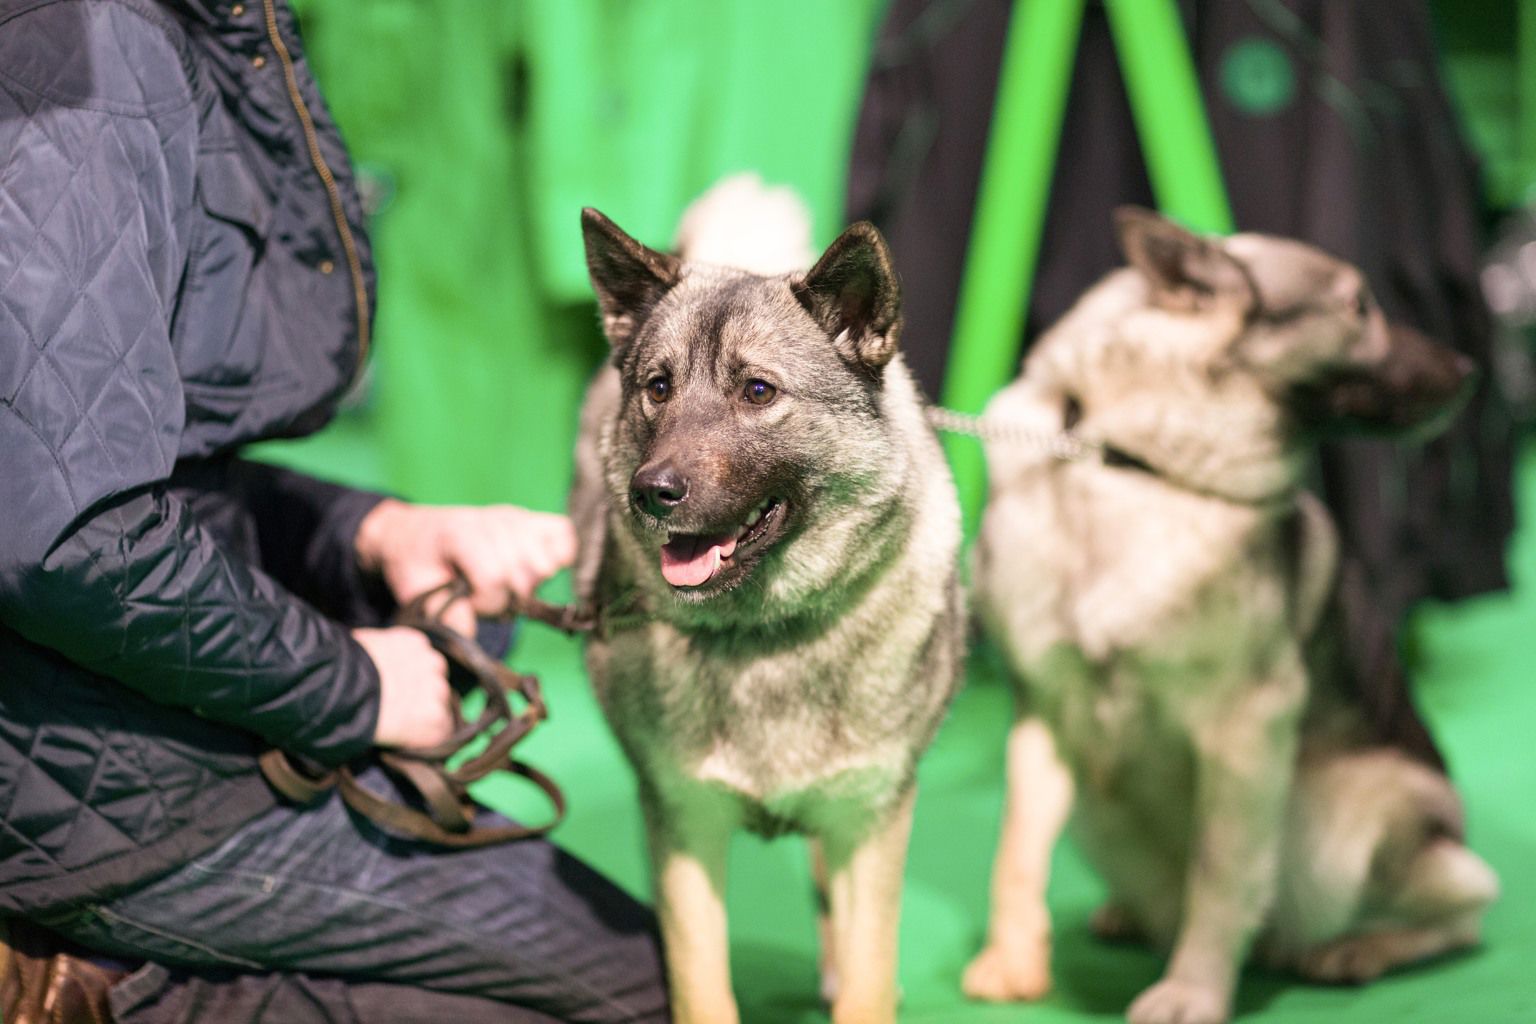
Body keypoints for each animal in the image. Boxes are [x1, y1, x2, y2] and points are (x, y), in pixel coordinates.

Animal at [964, 208, 1492, 1024]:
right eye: (1358, 306)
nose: (1470, 368)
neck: (1128, 465)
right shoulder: (1045, 713)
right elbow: (1015, 852)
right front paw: (1014, 961)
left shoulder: (1244, 729)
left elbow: (1219, 877)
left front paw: (1193, 991)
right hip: (1100, 806)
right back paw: (1130, 914)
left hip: (1343, 822)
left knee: (1464, 910)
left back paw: (1357, 949)